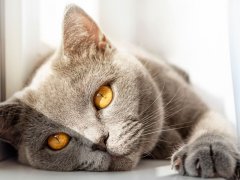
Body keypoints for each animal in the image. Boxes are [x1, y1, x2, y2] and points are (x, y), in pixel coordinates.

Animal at [0, 3, 239, 179]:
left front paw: (208, 152)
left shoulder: (195, 106)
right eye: (57, 140)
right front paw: (170, 142)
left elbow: (213, 125)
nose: (99, 142)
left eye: (102, 96)